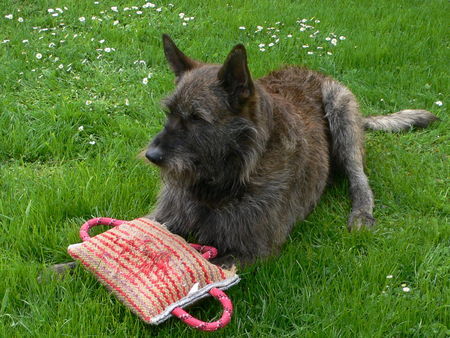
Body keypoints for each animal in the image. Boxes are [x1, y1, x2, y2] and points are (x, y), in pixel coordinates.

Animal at [143, 34, 436, 266]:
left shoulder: (251, 249)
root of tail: (313, 71)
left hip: (342, 114)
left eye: (197, 118)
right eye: (169, 112)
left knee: (359, 178)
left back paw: (362, 212)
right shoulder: (162, 217)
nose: (152, 156)